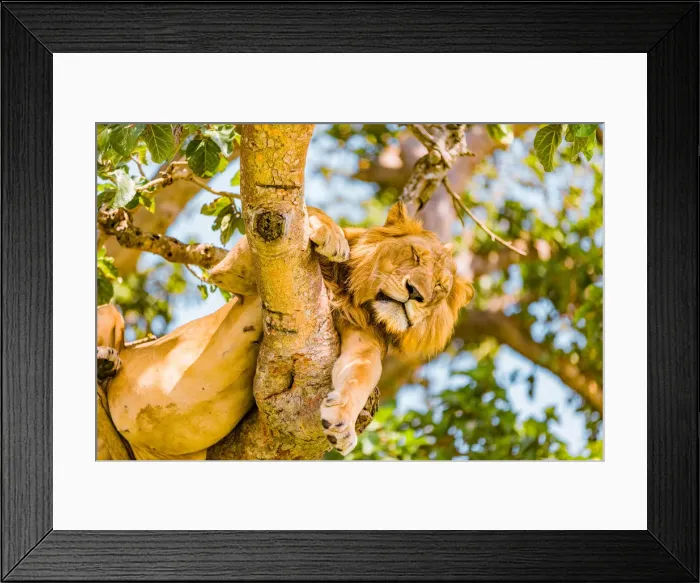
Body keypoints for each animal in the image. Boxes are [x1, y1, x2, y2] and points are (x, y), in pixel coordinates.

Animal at [97, 202, 474, 460]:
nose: (416, 293)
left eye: (439, 287)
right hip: (109, 312)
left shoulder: (363, 339)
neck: (352, 293)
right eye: (414, 255)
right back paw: (106, 360)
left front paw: (342, 423)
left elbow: (362, 374)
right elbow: (307, 213)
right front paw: (330, 235)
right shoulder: (233, 273)